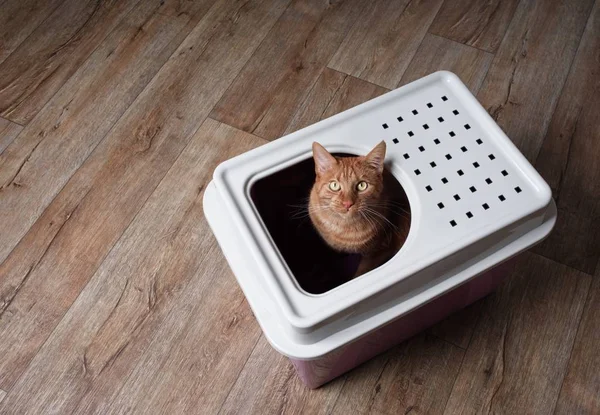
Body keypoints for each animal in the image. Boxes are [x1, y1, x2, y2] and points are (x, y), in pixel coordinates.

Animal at [310, 141, 408, 282]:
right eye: (334, 185)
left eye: (362, 185)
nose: (347, 203)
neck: (343, 229)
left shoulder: (378, 251)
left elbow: (361, 271)